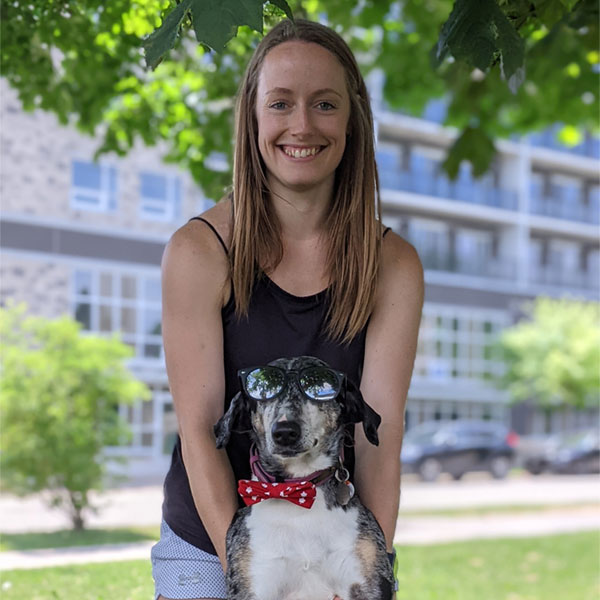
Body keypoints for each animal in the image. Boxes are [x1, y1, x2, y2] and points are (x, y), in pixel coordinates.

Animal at [214, 356, 394, 600]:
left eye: (319, 387)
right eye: (264, 392)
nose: (284, 432)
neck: (297, 491)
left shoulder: (369, 584)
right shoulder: (253, 583)